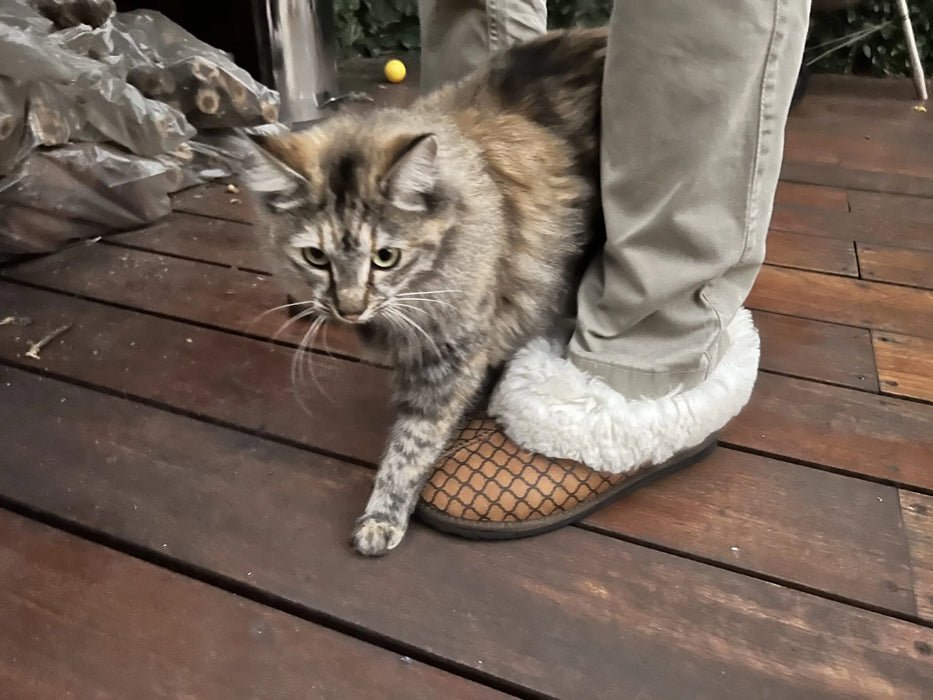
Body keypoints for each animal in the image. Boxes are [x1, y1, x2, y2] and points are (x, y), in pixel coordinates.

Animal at [242, 24, 604, 556]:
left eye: (385, 258)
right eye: (316, 258)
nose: (349, 309)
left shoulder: (448, 356)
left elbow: (412, 443)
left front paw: (382, 516)